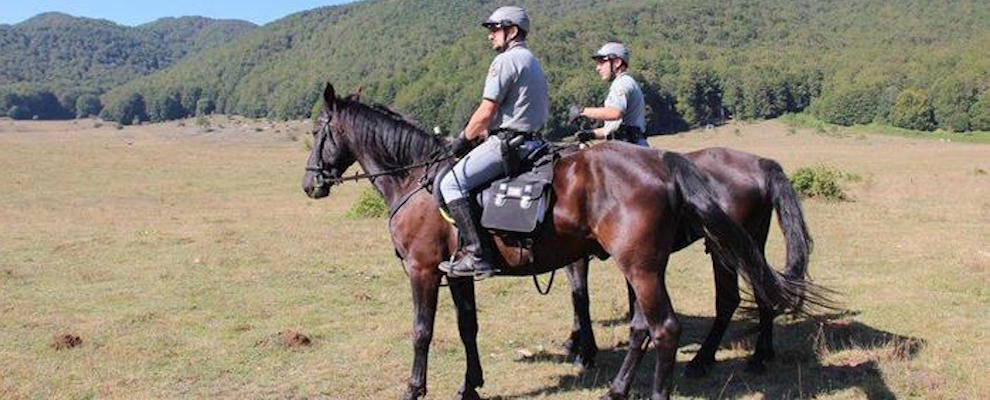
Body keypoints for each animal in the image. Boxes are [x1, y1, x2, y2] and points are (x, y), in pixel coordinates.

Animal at [560, 145, 816, 376]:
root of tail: (760, 163)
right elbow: (579, 296)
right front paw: (574, 341)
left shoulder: (578, 258)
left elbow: (580, 298)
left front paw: (585, 352)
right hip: (751, 244)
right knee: (764, 291)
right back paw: (761, 355)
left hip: (724, 250)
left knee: (728, 300)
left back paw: (703, 360)